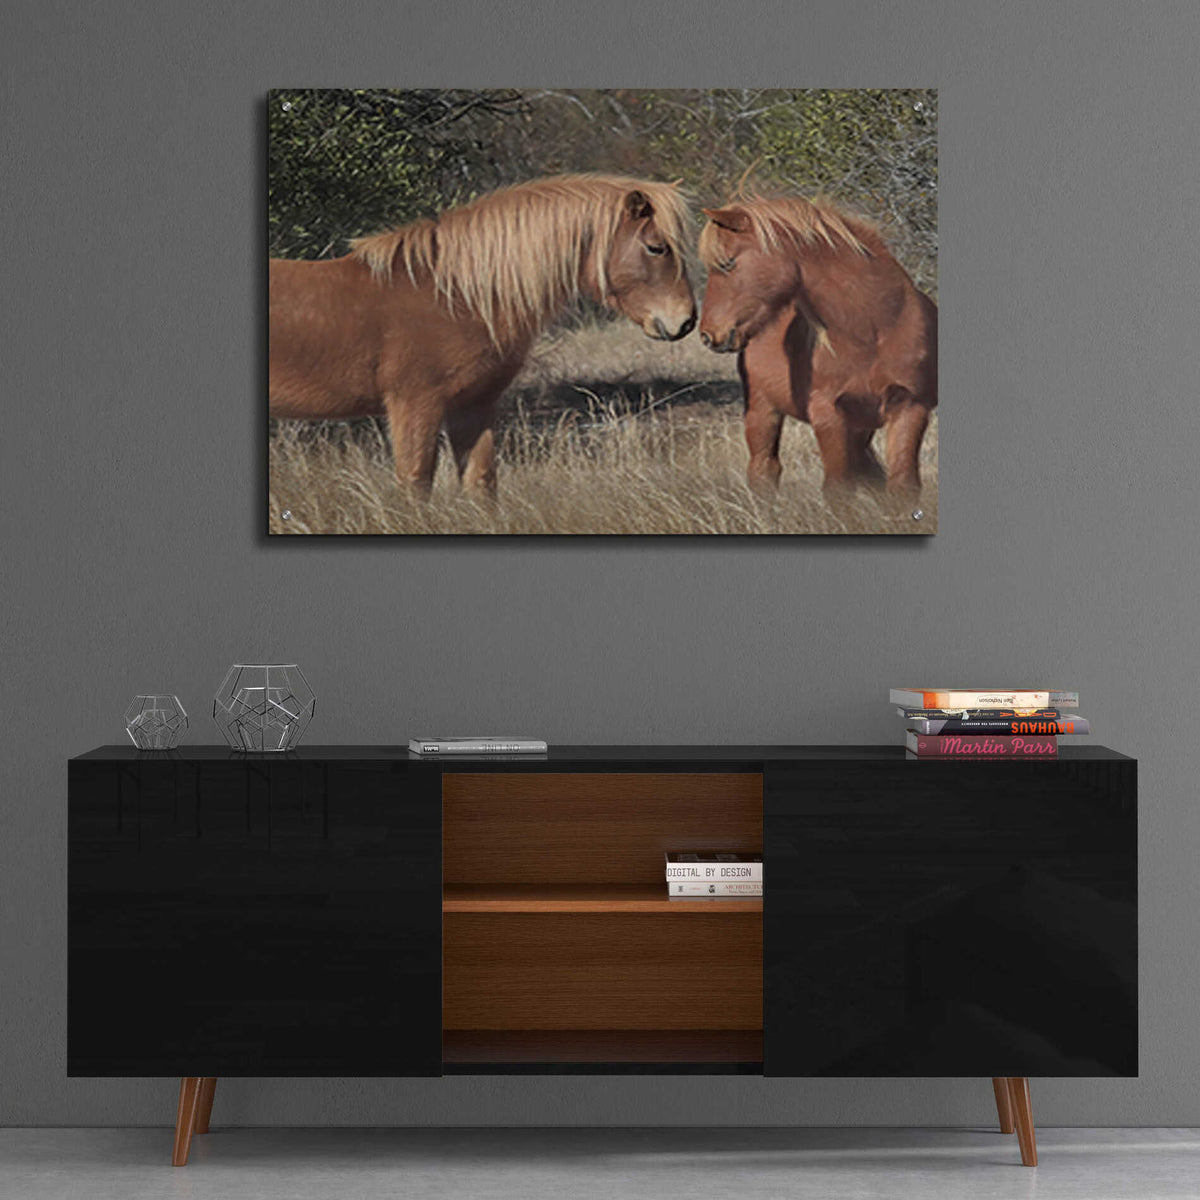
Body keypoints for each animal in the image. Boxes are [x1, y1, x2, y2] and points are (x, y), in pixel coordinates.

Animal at [269, 174, 697, 495]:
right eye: (656, 247)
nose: (686, 321)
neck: (455, 295)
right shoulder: (414, 406)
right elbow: (415, 484)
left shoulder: (473, 406)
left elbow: (482, 484)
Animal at [697, 196, 937, 498]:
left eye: (728, 263)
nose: (708, 335)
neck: (875, 329)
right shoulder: (828, 414)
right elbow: (838, 488)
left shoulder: (910, 408)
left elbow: (902, 486)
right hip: (762, 410)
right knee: (764, 470)